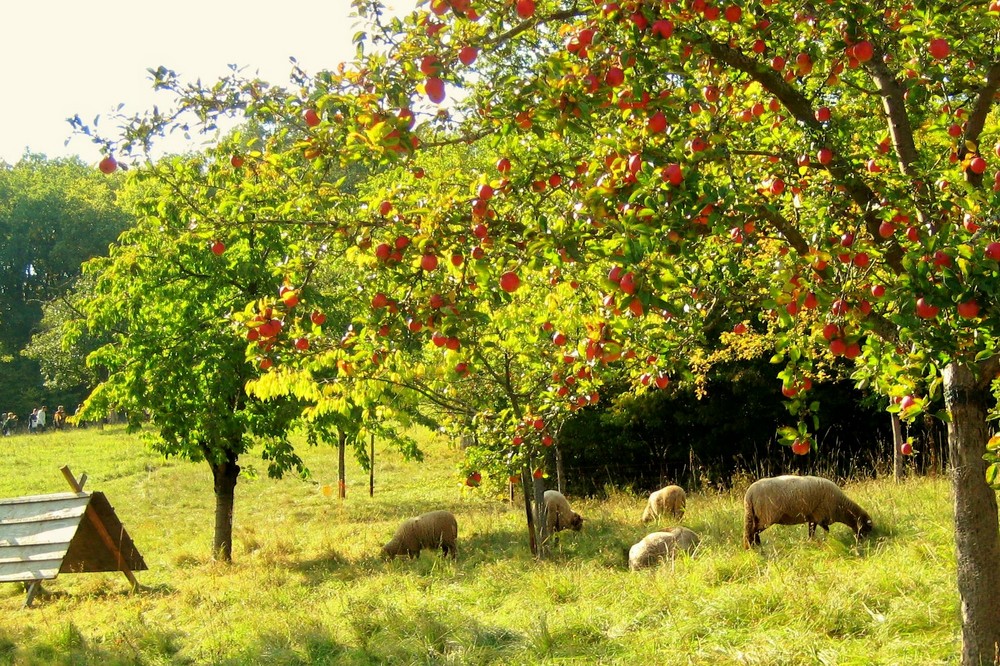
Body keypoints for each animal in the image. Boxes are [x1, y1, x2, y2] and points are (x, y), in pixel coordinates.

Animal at [744, 472, 876, 544]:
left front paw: (811, 542)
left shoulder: (813, 517)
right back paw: (756, 547)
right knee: (753, 532)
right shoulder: (821, 516)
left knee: (752, 532)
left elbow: (811, 532)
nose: (864, 541)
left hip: (757, 516)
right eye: (867, 528)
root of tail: (749, 494)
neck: (842, 508)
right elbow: (826, 530)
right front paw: (827, 540)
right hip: (766, 517)